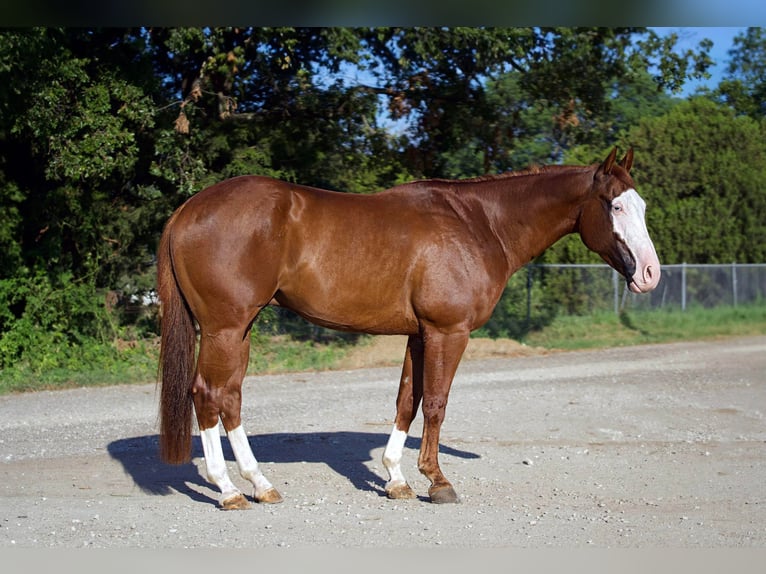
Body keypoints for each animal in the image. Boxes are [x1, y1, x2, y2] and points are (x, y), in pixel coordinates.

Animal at [156, 148, 660, 512]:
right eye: (615, 205)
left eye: (642, 206)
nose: (650, 274)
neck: (479, 222)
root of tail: (187, 209)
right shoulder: (447, 332)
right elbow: (435, 403)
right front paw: (437, 481)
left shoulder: (419, 334)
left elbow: (406, 401)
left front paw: (396, 478)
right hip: (224, 329)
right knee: (207, 394)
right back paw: (228, 490)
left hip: (240, 330)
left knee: (229, 397)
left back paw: (260, 484)